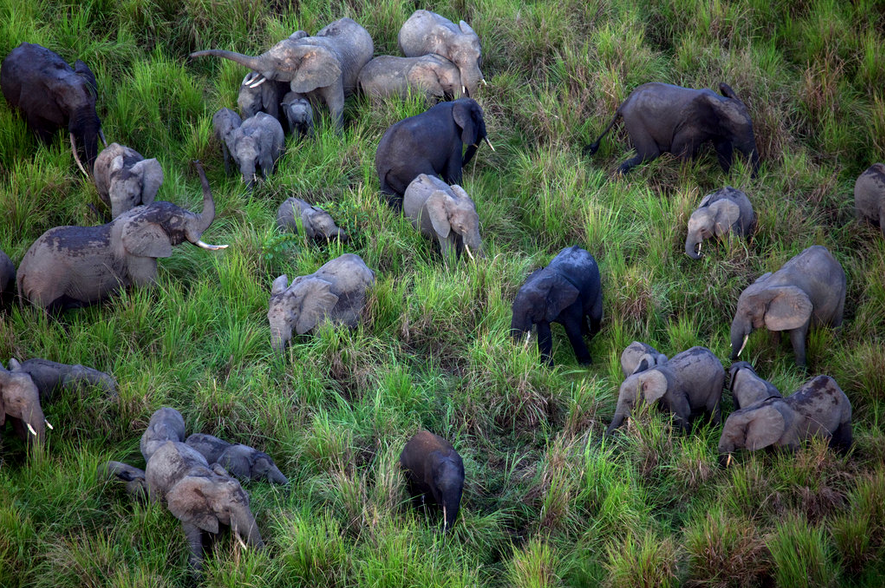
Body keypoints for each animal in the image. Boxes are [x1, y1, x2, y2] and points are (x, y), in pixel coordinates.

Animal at [1, 43, 106, 175]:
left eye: (95, 100)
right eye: (65, 107)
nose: (89, 176)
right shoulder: (35, 105)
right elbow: (42, 135)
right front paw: (47, 156)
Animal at [16, 162, 227, 312]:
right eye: (177, 220)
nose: (196, 161)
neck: (141, 215)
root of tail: (22, 270)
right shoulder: (137, 257)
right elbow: (150, 288)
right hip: (46, 285)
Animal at [191, 18, 374, 131]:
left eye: (280, 64)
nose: (191, 55)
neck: (302, 46)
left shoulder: (335, 74)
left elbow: (336, 105)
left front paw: (336, 139)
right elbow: (315, 106)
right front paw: (321, 131)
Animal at [585, 82, 760, 176]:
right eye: (734, 128)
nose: (752, 179)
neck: (720, 101)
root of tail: (623, 105)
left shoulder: (717, 128)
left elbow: (723, 150)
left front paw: (728, 179)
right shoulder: (690, 125)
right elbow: (679, 150)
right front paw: (688, 177)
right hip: (635, 120)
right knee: (650, 154)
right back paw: (619, 175)